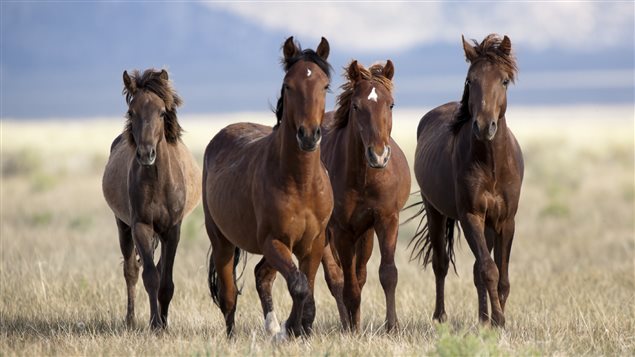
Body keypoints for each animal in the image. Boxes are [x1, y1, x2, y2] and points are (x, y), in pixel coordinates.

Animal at [102, 69, 201, 328]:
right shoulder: (141, 227)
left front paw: (163, 323)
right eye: (131, 112)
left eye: (162, 112)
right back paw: (130, 320)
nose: (146, 154)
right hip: (123, 226)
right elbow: (150, 278)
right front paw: (155, 324)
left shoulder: (172, 231)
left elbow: (166, 282)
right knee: (131, 271)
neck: (158, 181)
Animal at [204, 36, 336, 340]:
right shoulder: (274, 241)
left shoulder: (313, 244)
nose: (308, 135)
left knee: (262, 275)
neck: (301, 183)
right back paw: (234, 337)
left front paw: (298, 328)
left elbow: (307, 286)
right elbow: (299, 285)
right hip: (221, 241)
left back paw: (274, 327)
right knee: (229, 296)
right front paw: (293, 328)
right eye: (288, 85)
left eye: (325, 85)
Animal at [320, 59, 414, 330]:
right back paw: (347, 324)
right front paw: (352, 330)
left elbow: (387, 274)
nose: (379, 155)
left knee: (359, 275)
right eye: (356, 105)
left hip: (365, 234)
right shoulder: (341, 230)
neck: (363, 178)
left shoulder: (386, 220)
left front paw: (392, 326)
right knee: (337, 279)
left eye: (390, 104)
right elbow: (348, 285)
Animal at [412, 34, 528, 326]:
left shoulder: (505, 221)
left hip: (488, 224)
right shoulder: (470, 216)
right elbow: (489, 270)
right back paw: (441, 316)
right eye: (470, 80)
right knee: (440, 264)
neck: (492, 165)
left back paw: (482, 318)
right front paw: (498, 320)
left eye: (504, 80)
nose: (484, 126)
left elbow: (501, 276)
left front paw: (495, 319)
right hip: (435, 211)